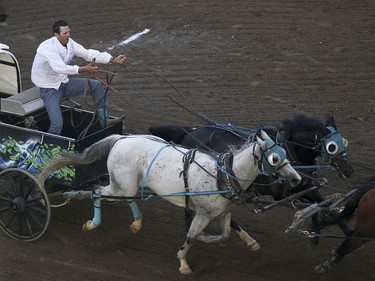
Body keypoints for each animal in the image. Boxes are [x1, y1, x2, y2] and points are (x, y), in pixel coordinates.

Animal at [148, 112, 354, 244]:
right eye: (332, 147)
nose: (348, 170)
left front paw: (343, 233)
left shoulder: (306, 187)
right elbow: (312, 207)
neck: (291, 152)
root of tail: (190, 131)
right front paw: (316, 233)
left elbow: (325, 203)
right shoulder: (282, 196)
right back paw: (246, 239)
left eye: (344, 142)